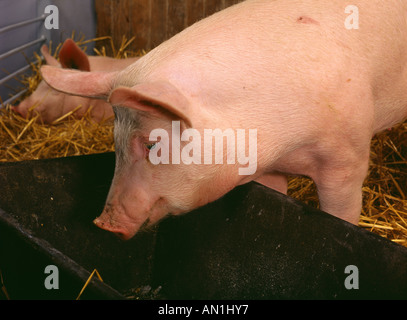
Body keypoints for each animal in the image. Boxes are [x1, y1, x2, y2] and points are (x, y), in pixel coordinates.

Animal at [39, 0, 407, 239]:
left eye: (152, 144)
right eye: (113, 141)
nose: (104, 223)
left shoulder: (348, 155)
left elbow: (340, 212)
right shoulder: (269, 167)